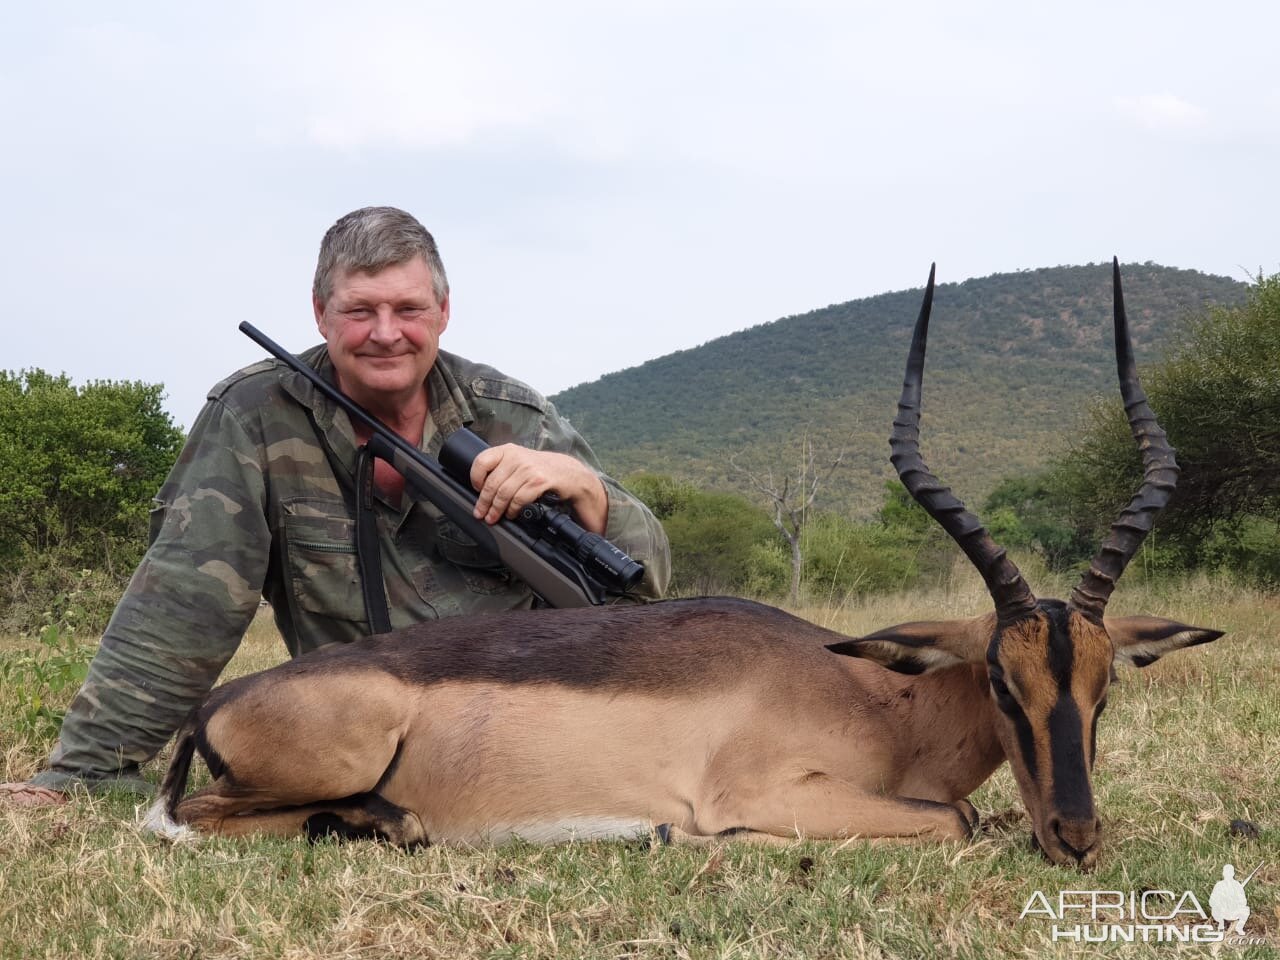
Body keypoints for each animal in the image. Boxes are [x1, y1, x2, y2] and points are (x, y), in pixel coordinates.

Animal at [147, 259, 1218, 870]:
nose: (1076, 839)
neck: (876, 699)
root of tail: (215, 705)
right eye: (1001, 680)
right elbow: (957, 821)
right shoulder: (772, 791)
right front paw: (696, 837)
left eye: (1105, 686)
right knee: (184, 820)